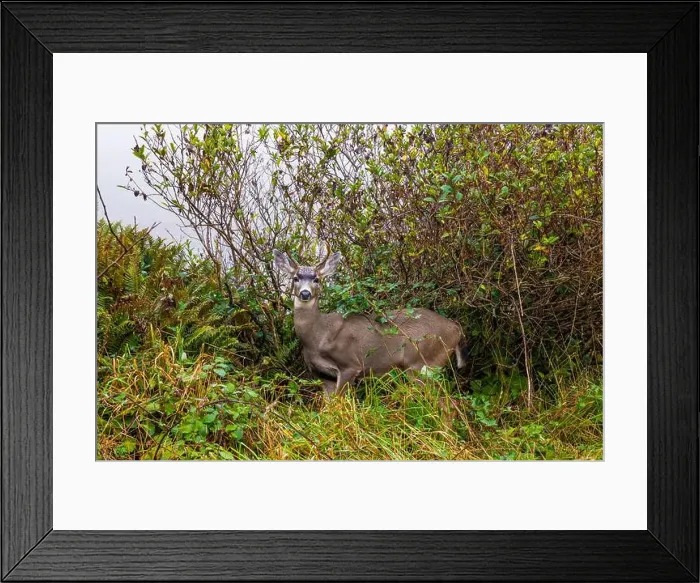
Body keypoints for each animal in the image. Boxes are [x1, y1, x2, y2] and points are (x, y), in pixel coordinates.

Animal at [273, 243, 467, 396]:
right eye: (295, 278)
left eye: (317, 279)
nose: (305, 293)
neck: (317, 337)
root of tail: (457, 329)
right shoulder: (323, 376)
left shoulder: (350, 365)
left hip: (424, 363)